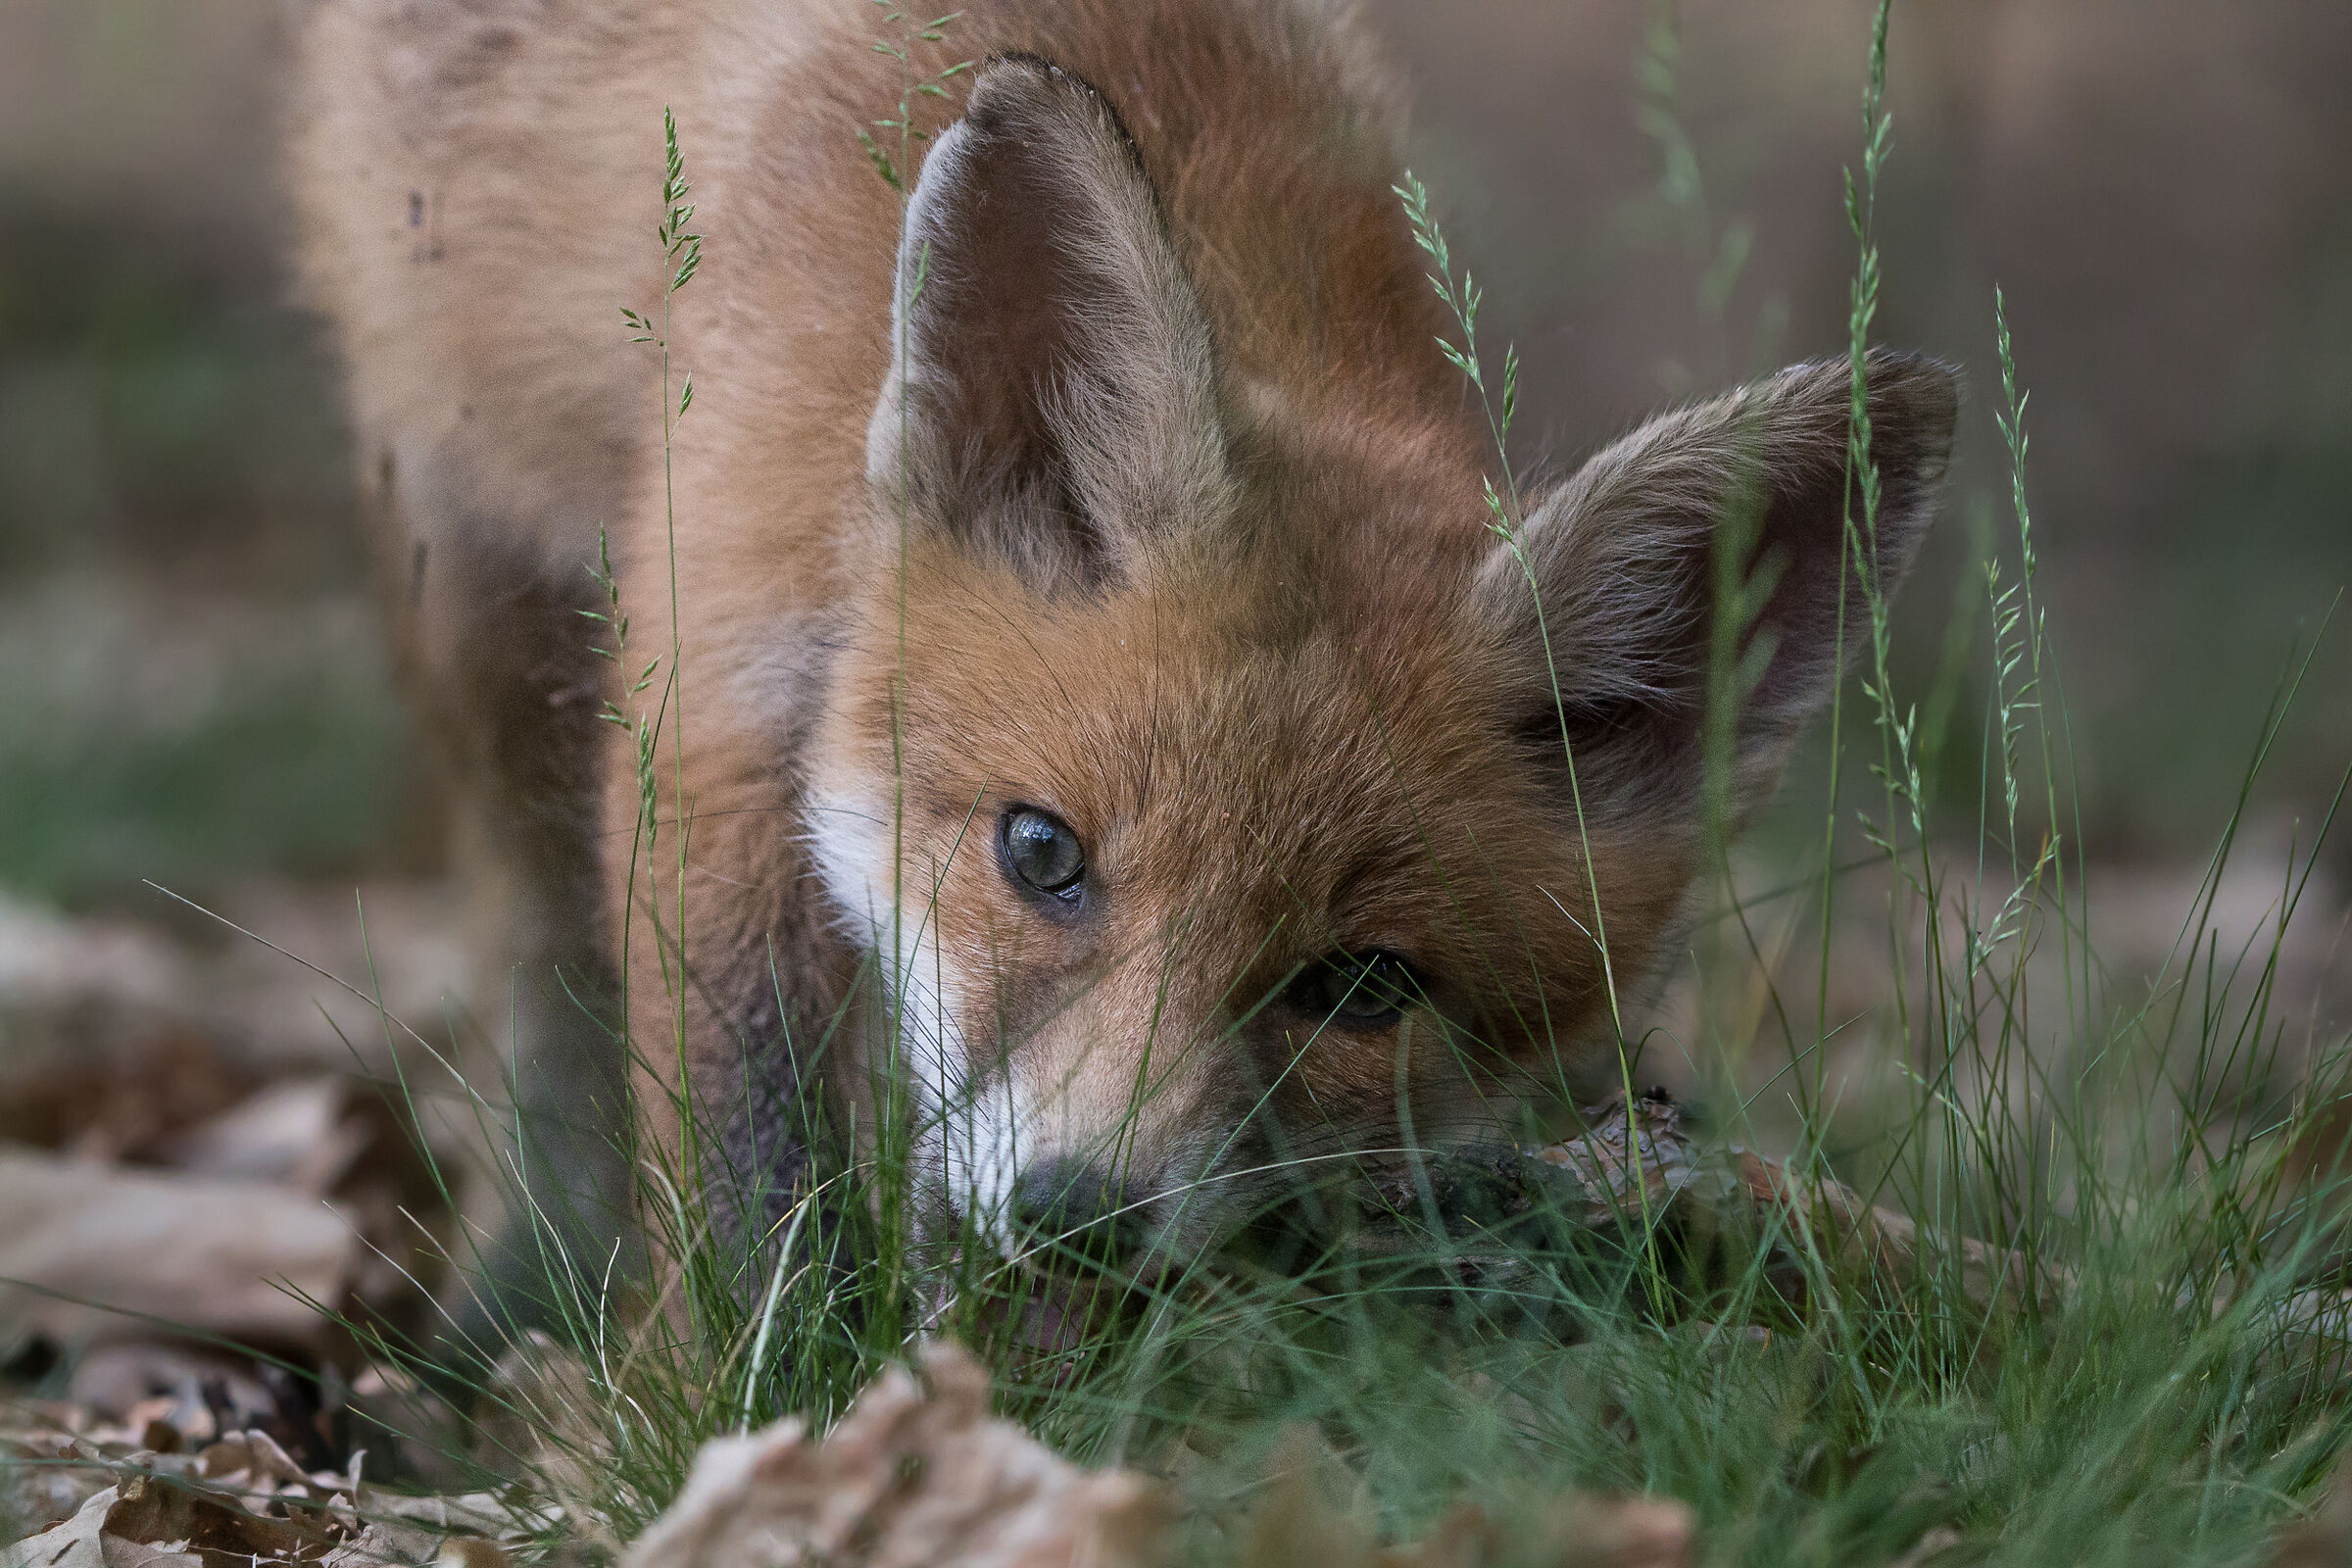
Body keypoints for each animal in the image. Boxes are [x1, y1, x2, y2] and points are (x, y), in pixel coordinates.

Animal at [289, 0, 1956, 1285]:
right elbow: (750, 1164)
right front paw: (750, 1400)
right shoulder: (724, 678)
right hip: (467, 567)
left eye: (1361, 986)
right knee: (536, 949)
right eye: (1042, 853)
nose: (1075, 1217)